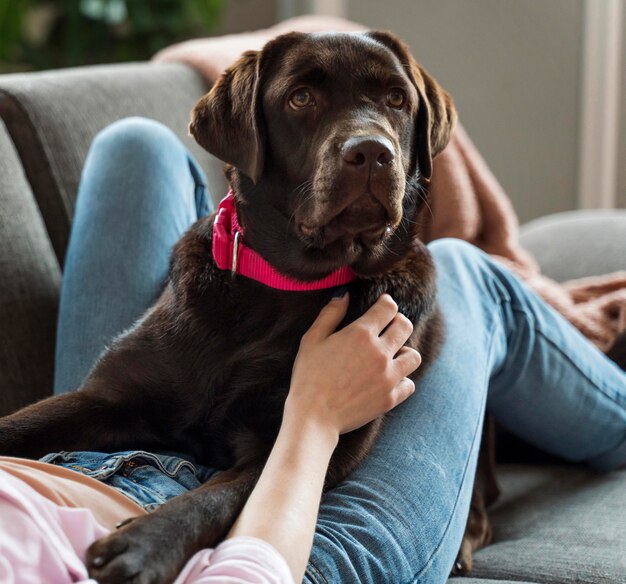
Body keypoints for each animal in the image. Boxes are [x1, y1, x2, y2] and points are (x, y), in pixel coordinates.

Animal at [0, 29, 492, 580]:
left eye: (396, 100)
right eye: (301, 98)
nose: (371, 151)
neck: (283, 286)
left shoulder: (302, 447)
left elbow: (213, 497)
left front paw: (144, 545)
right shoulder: (104, 397)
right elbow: (19, 425)